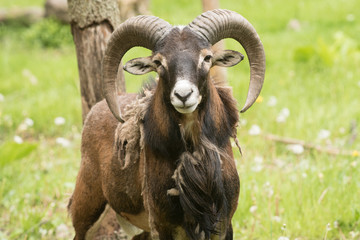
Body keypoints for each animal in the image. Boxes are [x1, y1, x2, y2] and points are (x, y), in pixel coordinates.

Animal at [68, 8, 264, 239]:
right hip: (86, 209)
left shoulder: (223, 224)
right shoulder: (163, 226)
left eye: (207, 57)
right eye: (159, 62)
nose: (183, 95)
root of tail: (94, 112)